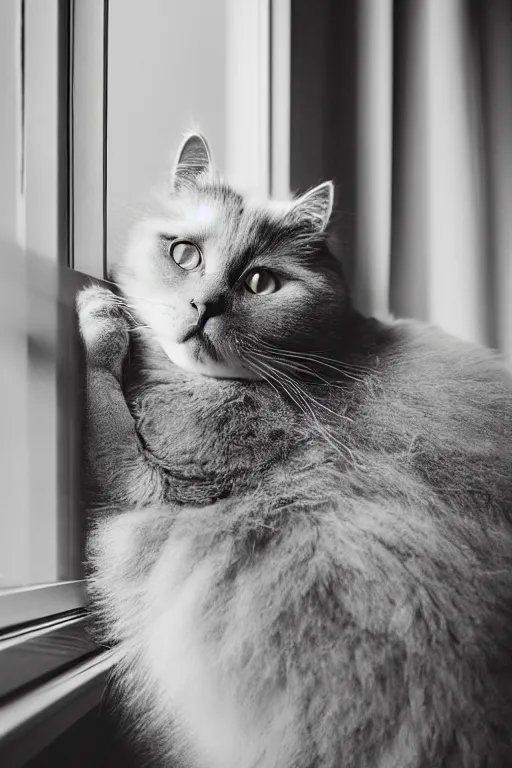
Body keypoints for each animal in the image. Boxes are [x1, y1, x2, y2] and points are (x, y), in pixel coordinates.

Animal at [77, 134, 512, 768]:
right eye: (185, 255)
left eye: (260, 284)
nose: (203, 307)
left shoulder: (156, 483)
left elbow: (101, 398)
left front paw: (98, 318)